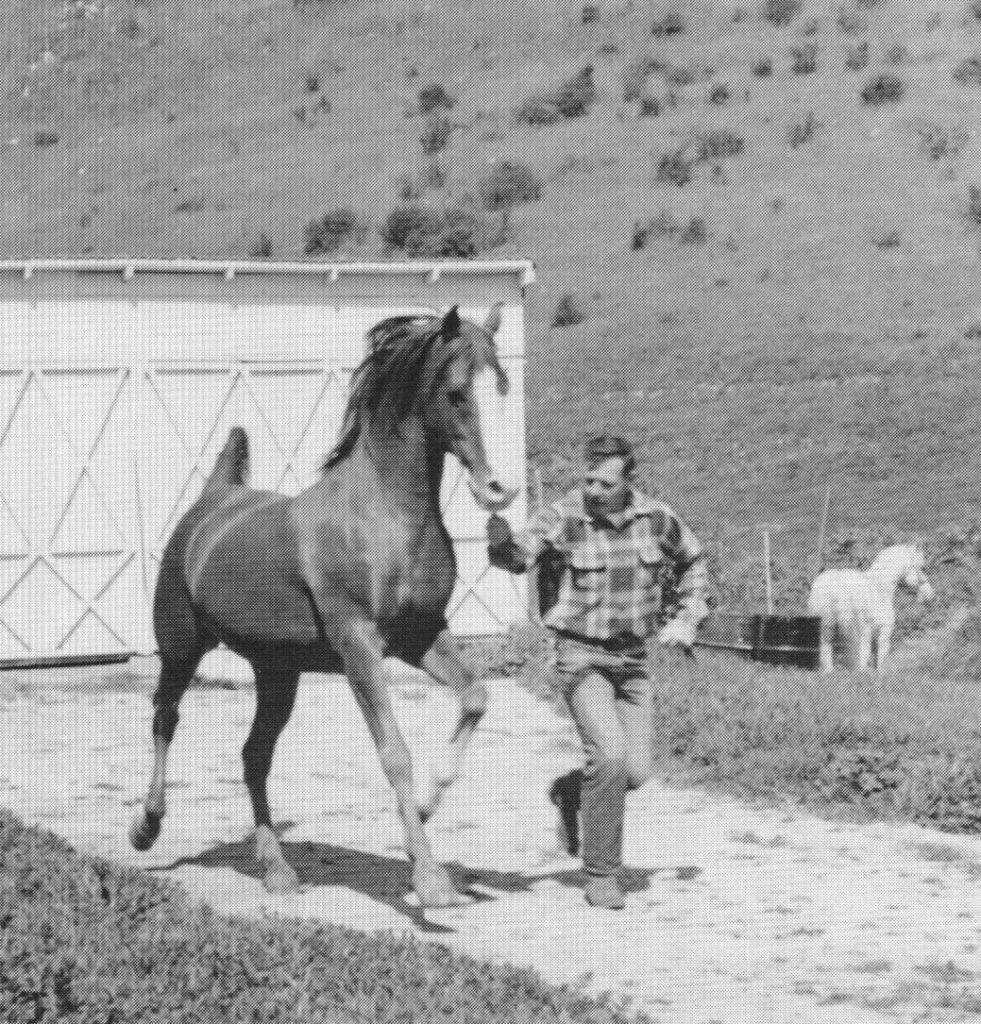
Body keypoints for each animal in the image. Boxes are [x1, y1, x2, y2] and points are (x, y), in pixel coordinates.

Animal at [130, 303, 522, 905]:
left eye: (502, 385)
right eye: (456, 392)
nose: (498, 490)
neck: (386, 515)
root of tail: (212, 502)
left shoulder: (422, 637)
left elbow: (476, 697)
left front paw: (426, 813)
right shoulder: (358, 646)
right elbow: (395, 752)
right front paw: (430, 880)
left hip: (278, 673)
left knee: (253, 756)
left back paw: (277, 870)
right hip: (181, 650)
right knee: (165, 719)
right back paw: (146, 828)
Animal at [811, 540, 942, 675]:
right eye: (922, 567)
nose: (930, 595)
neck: (879, 589)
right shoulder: (881, 630)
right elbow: (878, 655)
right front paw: (877, 674)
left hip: (828, 627)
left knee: (826, 647)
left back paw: (828, 671)